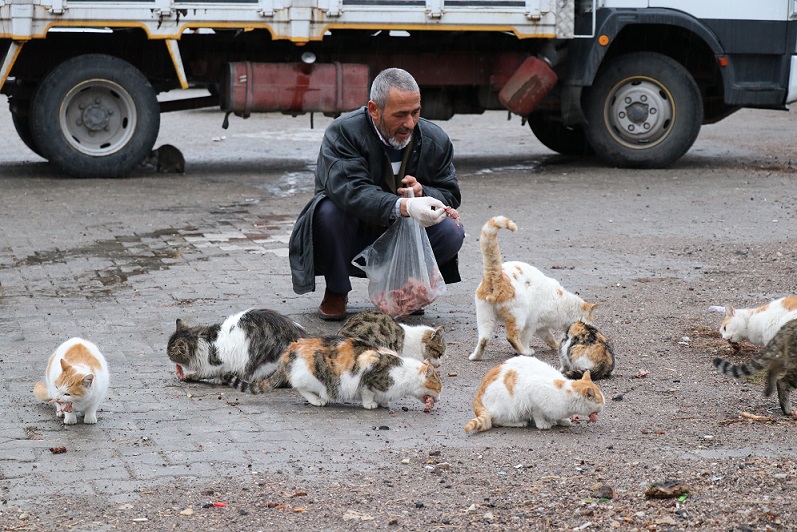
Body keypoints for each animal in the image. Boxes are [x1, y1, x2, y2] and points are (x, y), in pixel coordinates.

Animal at [246, 336, 442, 412]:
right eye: (439, 389)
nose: (439, 399)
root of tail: (291, 348)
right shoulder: (368, 374)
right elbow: (367, 393)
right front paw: (370, 404)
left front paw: (384, 402)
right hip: (313, 376)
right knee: (299, 386)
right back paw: (317, 400)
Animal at [460, 354, 604, 432]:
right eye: (600, 404)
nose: (603, 408)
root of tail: (479, 393)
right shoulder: (533, 396)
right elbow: (538, 414)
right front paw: (542, 424)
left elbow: (559, 416)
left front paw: (562, 420)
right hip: (509, 407)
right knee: (495, 420)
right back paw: (519, 422)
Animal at [466, 216, 596, 362]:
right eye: (590, 322)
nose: (593, 328)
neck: (563, 304)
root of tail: (496, 275)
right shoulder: (532, 323)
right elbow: (526, 338)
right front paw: (527, 349)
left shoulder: (542, 328)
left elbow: (549, 338)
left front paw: (556, 345)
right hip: (519, 315)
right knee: (511, 337)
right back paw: (525, 352)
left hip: (485, 318)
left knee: (483, 339)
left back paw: (475, 356)